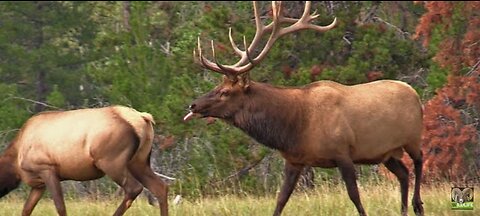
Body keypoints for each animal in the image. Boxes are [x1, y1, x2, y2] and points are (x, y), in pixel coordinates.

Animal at [0, 105, 170, 215]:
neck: (16, 163)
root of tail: (143, 118)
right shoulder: (38, 184)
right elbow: (26, 209)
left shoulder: (47, 168)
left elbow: (60, 206)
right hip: (139, 161)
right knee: (160, 187)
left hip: (111, 161)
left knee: (134, 188)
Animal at [184, 1, 424, 216]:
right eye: (217, 86)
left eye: (225, 92)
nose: (193, 104)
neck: (295, 126)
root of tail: (415, 93)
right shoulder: (294, 160)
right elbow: (281, 200)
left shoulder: (343, 152)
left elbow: (355, 196)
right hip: (386, 153)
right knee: (403, 174)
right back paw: (403, 211)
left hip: (412, 138)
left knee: (419, 162)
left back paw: (417, 205)